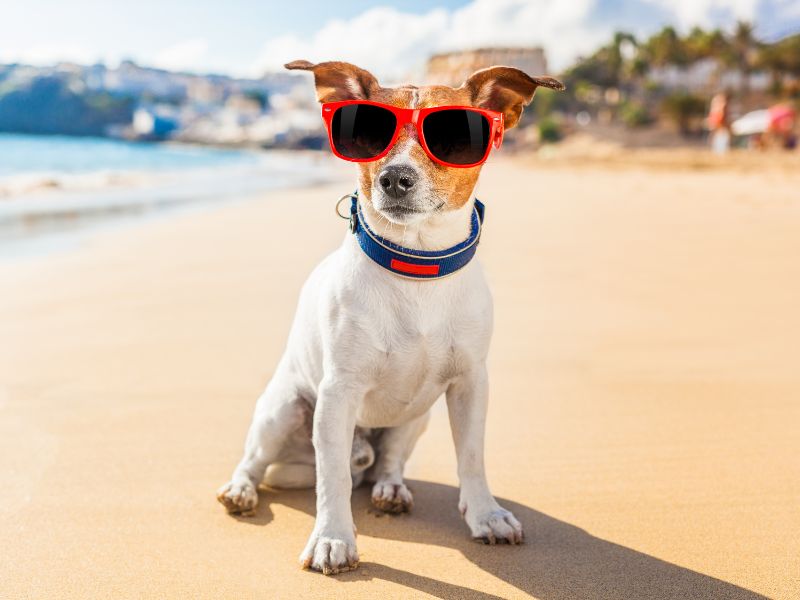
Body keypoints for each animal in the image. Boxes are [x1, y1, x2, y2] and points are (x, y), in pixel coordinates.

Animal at [217, 58, 564, 576]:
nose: (395, 178)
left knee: (389, 458)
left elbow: (472, 456)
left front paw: (486, 515)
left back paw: (390, 488)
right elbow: (332, 479)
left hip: (417, 415)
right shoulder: (337, 392)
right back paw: (241, 490)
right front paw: (332, 538)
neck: (415, 265)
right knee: (259, 460)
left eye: (451, 135)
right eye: (369, 131)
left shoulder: (470, 383)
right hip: (284, 409)